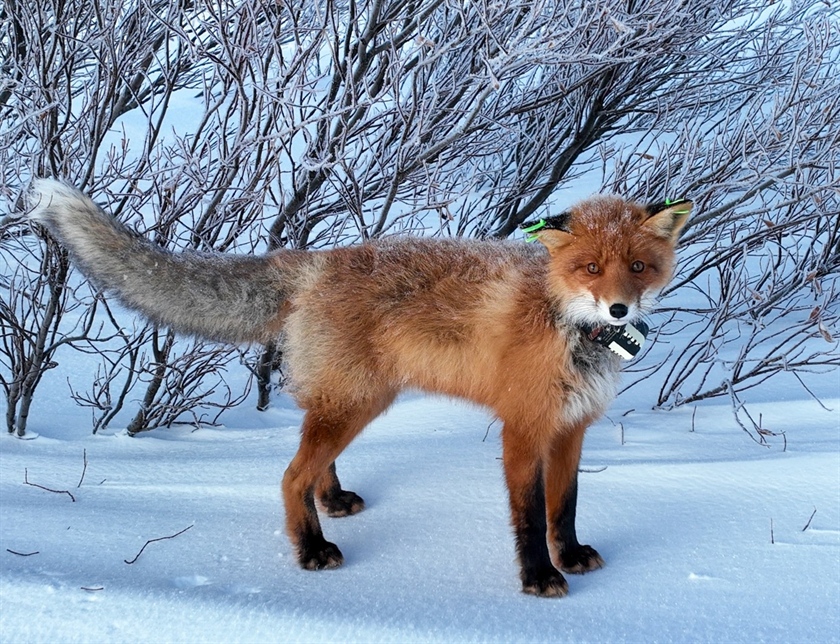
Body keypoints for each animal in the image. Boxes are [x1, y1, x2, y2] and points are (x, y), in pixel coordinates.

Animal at [24, 179, 690, 597]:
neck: (566, 325)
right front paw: (538, 579)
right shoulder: (523, 431)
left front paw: (569, 556)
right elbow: (528, 517)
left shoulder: (572, 428)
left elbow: (564, 506)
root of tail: (314, 260)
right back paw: (311, 549)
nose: (620, 310)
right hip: (356, 402)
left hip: (353, 402)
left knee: (313, 464)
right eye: (589, 269)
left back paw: (331, 501)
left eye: (637, 267)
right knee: (289, 475)